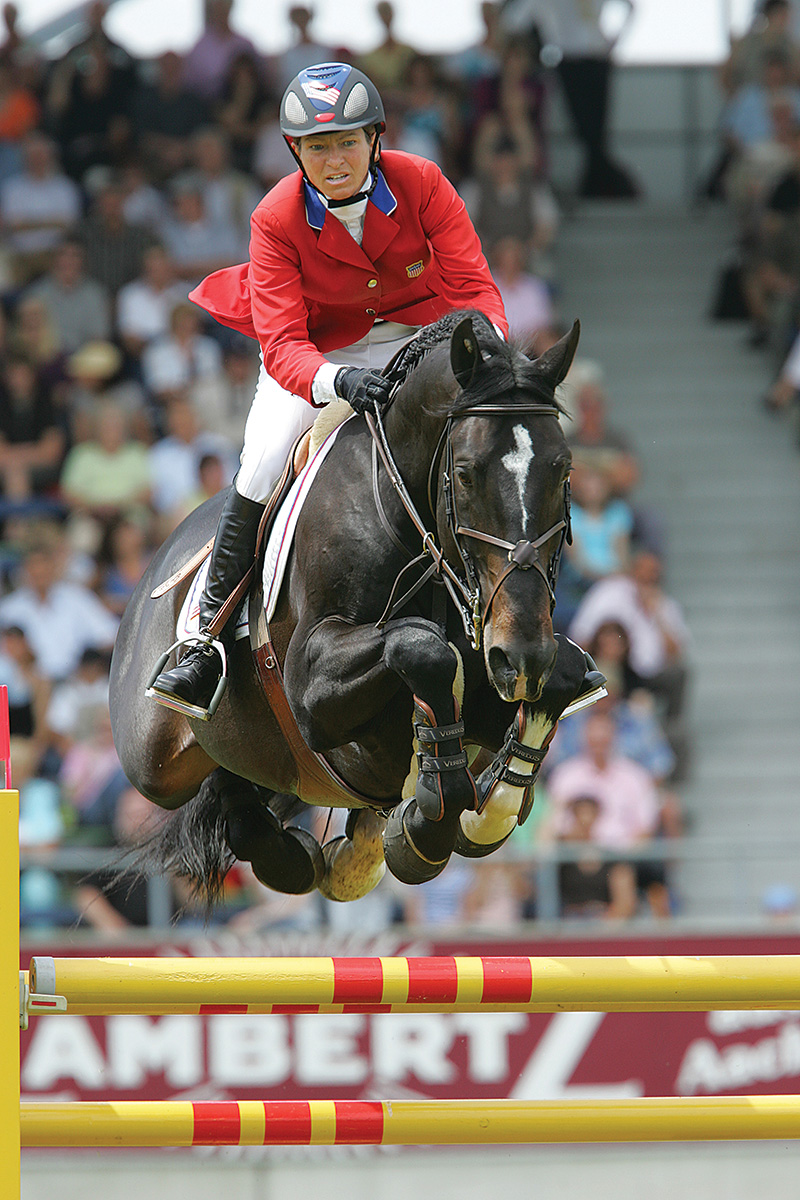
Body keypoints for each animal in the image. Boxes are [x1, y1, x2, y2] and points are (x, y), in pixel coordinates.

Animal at [109, 314, 604, 902]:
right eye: (464, 473)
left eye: (564, 471)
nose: (521, 656)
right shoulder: (310, 691)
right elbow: (420, 646)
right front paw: (433, 809)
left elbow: (557, 676)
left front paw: (469, 808)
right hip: (152, 761)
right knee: (214, 782)